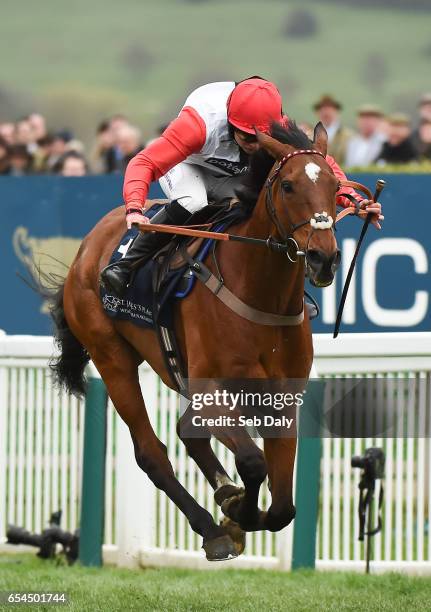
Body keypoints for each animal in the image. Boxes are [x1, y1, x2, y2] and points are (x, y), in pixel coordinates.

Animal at [49, 119, 342, 560]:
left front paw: (236, 503)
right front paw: (237, 512)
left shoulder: (281, 398)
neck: (260, 291)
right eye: (289, 186)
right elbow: (253, 463)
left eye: (335, 186)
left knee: (187, 432)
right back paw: (211, 528)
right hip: (112, 358)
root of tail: (88, 245)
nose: (324, 258)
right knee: (151, 452)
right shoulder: (211, 388)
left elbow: (283, 508)